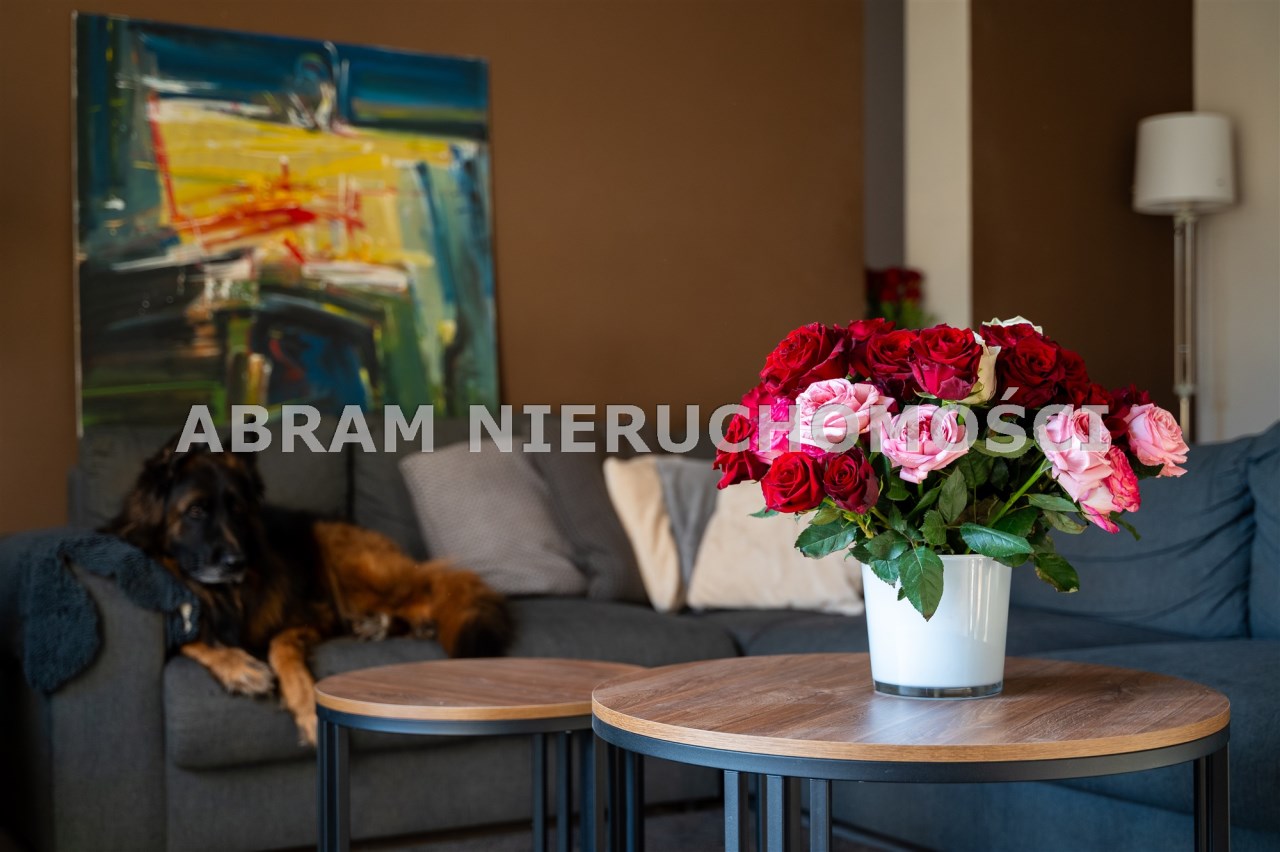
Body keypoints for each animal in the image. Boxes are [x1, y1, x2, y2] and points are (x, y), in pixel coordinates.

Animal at [104, 437, 513, 745]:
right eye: (196, 511)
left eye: (237, 510)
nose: (238, 562)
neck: (226, 597)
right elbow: (193, 640)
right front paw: (240, 668)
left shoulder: (314, 616)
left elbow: (281, 645)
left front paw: (305, 708)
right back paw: (383, 626)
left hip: (347, 561)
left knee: (431, 591)